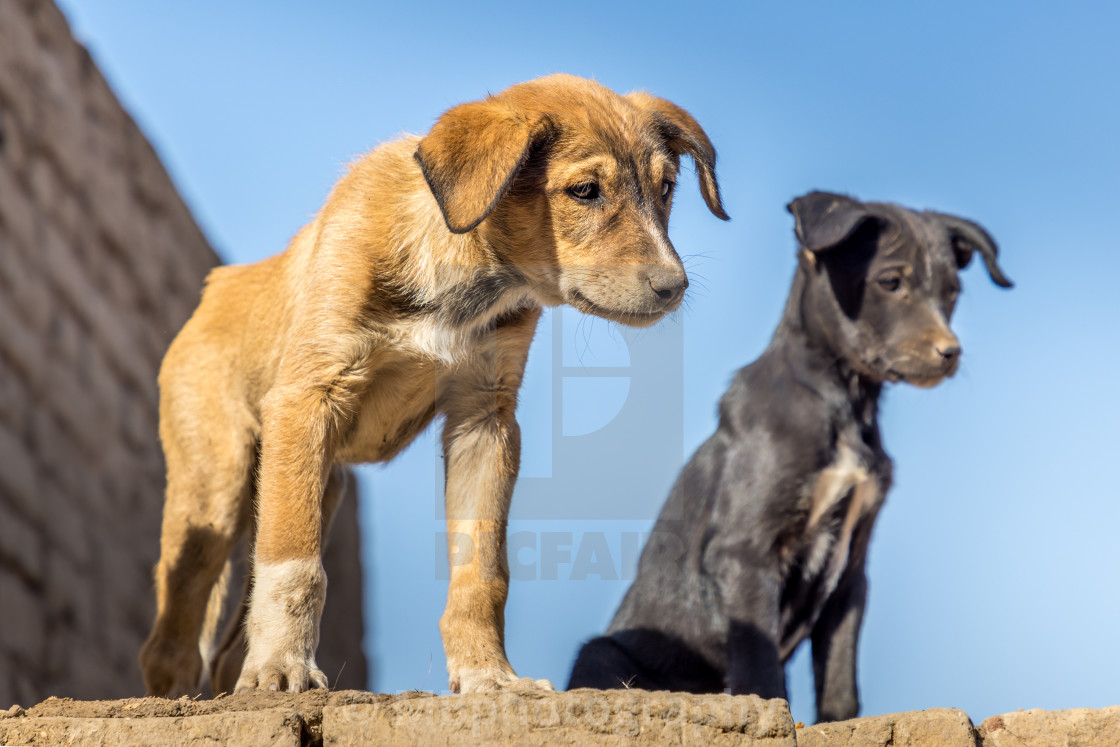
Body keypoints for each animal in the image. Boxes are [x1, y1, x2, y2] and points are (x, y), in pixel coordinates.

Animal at [140, 72, 730, 698]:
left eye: (667, 188)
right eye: (586, 190)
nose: (673, 287)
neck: (460, 272)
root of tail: (214, 290)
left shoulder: (484, 421)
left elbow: (481, 573)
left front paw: (489, 675)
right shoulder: (309, 397)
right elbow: (294, 562)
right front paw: (283, 666)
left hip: (316, 486)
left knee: (227, 645)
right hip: (218, 484)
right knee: (174, 635)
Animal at [573, 192, 1012, 725]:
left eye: (952, 292)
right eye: (891, 282)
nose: (950, 354)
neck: (844, 399)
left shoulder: (851, 573)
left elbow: (840, 675)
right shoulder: (745, 552)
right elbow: (762, 672)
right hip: (602, 651)